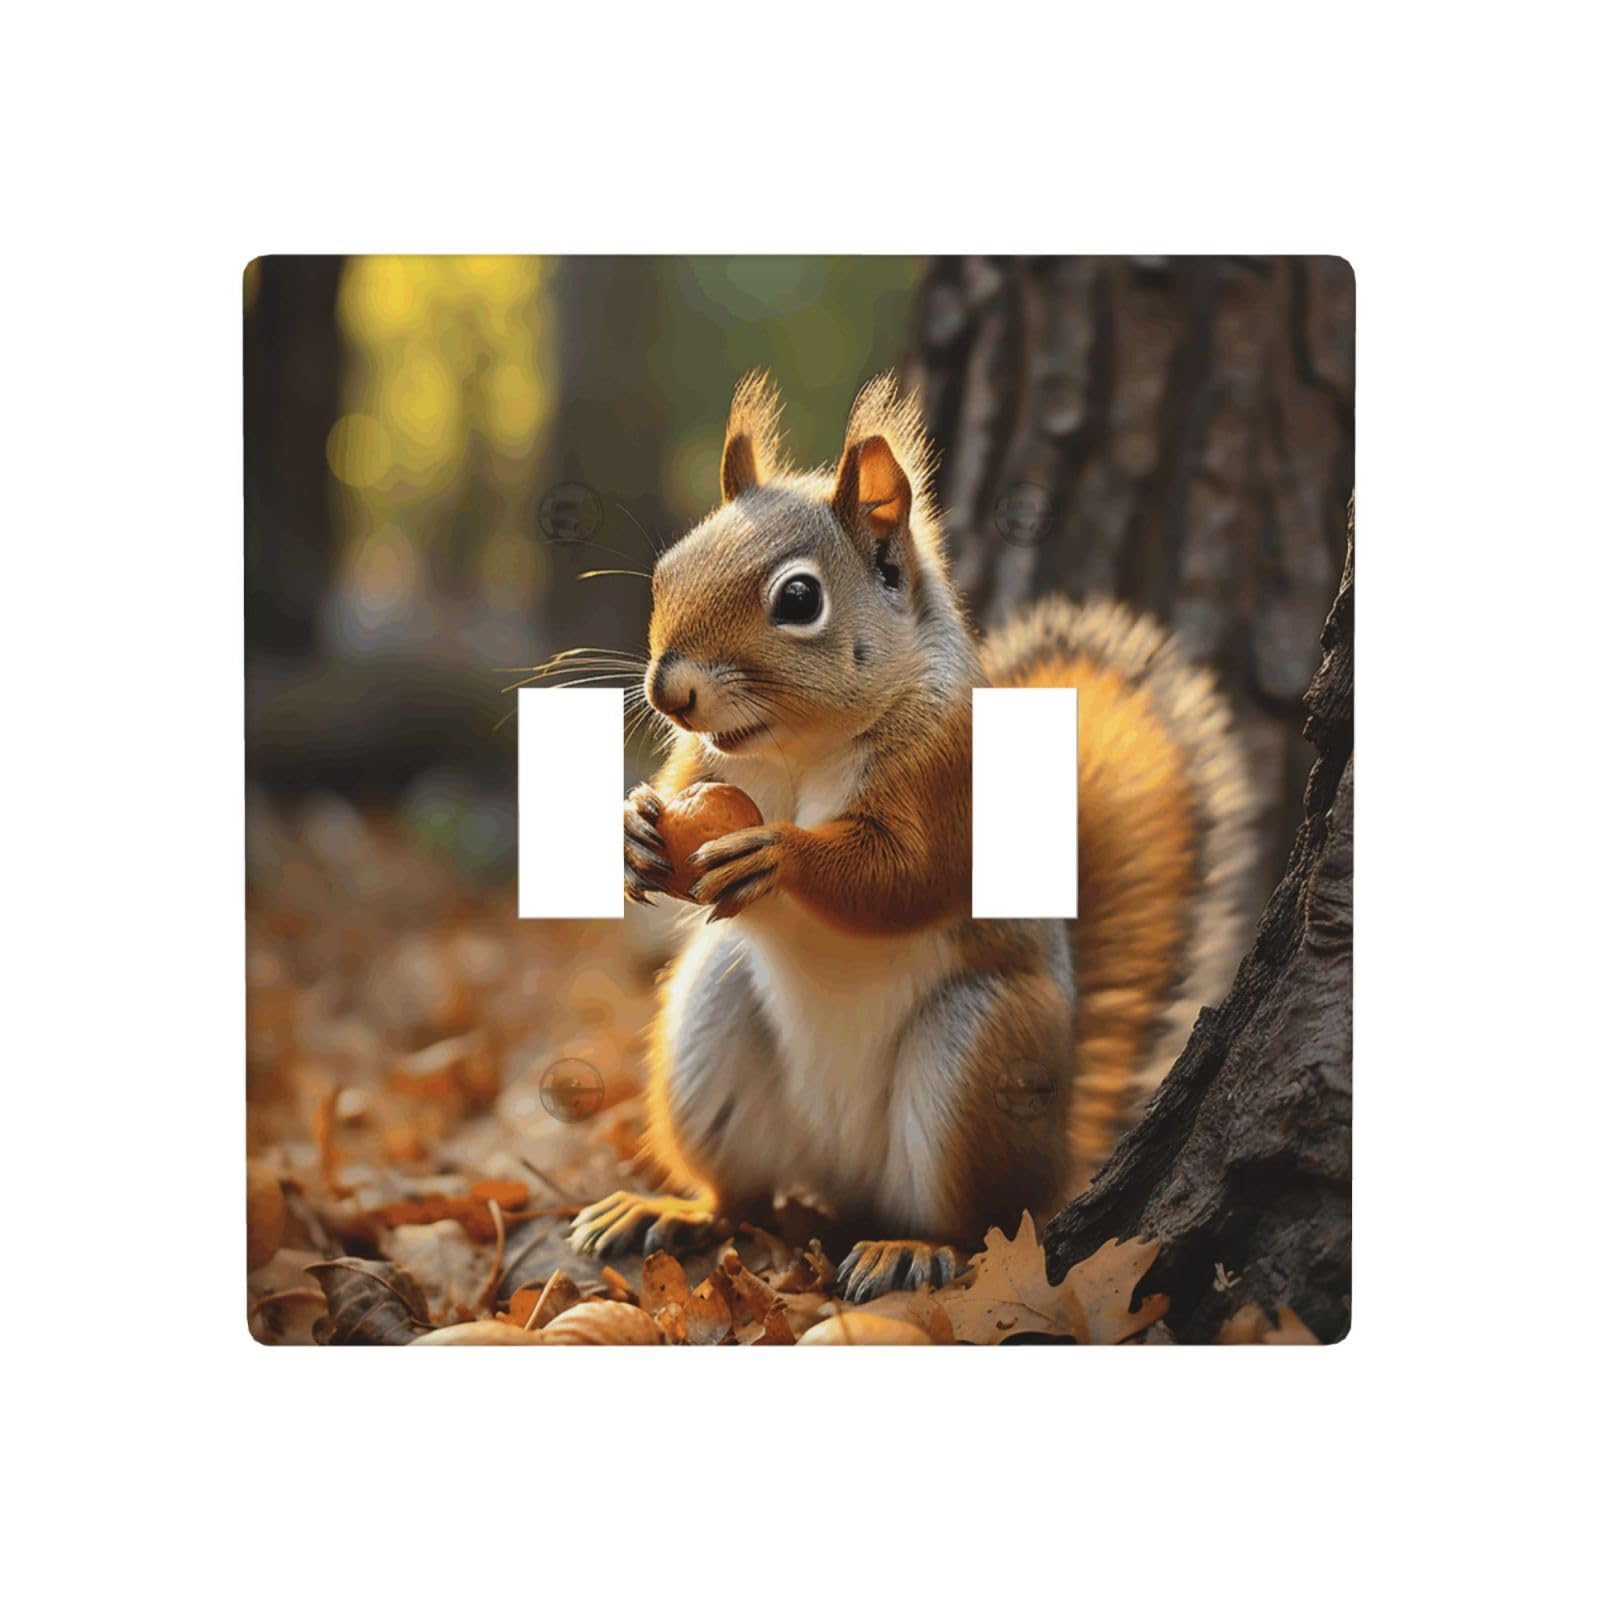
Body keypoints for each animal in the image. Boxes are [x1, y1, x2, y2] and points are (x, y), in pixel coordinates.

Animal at [571, 372, 1255, 1301]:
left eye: (798, 599)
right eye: (668, 569)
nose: (668, 690)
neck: (799, 746)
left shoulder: (947, 778)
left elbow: (903, 876)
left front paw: (779, 854)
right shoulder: (701, 762)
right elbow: (679, 793)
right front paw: (633, 828)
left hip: (976, 1058)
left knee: (979, 1225)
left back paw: (912, 1250)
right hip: (711, 1027)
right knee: (739, 1198)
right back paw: (671, 1210)